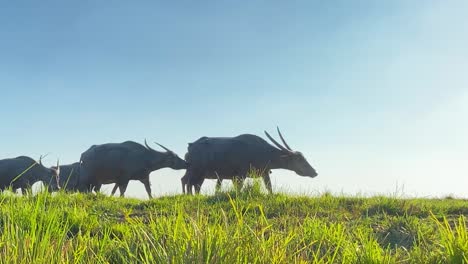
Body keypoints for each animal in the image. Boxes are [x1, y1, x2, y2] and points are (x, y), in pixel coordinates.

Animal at [183, 127, 318, 194]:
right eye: (300, 159)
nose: (315, 172)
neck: (262, 151)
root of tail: (190, 146)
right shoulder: (240, 175)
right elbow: (239, 188)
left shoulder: (264, 173)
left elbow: (269, 187)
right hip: (194, 171)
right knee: (187, 182)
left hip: (199, 175)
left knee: (194, 185)